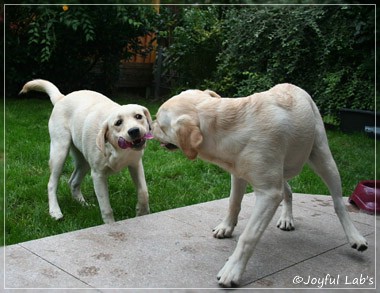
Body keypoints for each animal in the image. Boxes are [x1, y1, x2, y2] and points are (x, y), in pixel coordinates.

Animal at [20, 78, 153, 222]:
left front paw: (142, 212)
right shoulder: (98, 175)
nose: (134, 131)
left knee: (73, 182)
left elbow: (144, 192)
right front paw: (110, 224)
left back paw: (82, 203)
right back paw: (55, 211)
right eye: (118, 123)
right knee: (51, 183)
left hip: (83, 161)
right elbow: (106, 209)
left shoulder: (136, 164)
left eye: (139, 116)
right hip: (59, 151)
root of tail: (62, 97)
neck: (116, 148)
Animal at [154, 83, 368, 286]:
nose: (151, 125)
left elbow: (249, 236)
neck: (229, 126)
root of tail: (293, 86)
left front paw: (232, 270)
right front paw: (226, 227)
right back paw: (287, 218)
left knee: (338, 203)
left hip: (323, 158)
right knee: (288, 191)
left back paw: (355, 237)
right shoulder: (238, 175)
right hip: (282, 169)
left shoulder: (268, 194)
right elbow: (233, 203)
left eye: (160, 123)